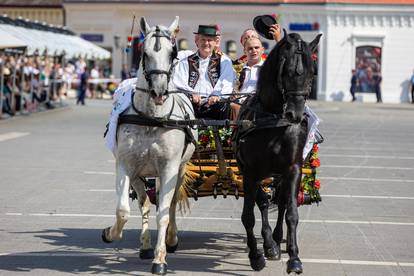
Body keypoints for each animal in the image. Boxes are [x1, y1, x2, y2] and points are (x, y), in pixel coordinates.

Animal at [101, 17, 196, 274]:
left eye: (173, 53)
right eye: (143, 53)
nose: (159, 91)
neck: (151, 119)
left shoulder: (169, 168)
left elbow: (163, 213)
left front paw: (160, 259)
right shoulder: (125, 166)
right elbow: (123, 210)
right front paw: (111, 233)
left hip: (178, 171)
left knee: (170, 204)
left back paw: (171, 239)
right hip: (140, 174)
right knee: (144, 203)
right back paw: (144, 245)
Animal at [234, 30, 322, 274]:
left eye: (312, 72)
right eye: (287, 69)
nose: (296, 114)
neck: (273, 120)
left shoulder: (292, 169)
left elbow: (291, 212)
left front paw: (294, 258)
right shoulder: (249, 172)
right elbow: (249, 216)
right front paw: (256, 256)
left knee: (281, 202)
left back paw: (276, 238)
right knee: (263, 203)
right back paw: (268, 244)